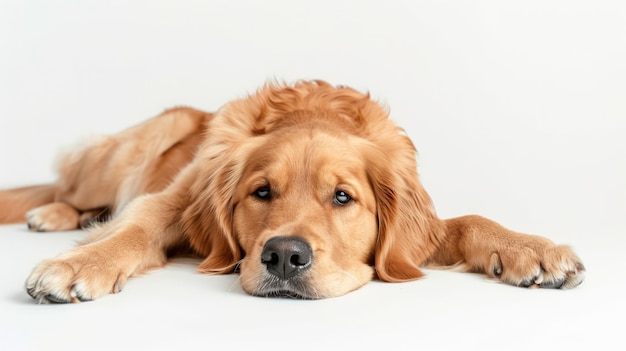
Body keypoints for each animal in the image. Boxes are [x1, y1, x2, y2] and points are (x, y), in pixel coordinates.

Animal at [0, 80, 580, 302]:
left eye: (343, 197)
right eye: (261, 193)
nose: (283, 257)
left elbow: (469, 222)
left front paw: (533, 250)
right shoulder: (171, 199)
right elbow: (135, 229)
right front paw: (80, 265)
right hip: (123, 155)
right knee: (66, 187)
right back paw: (55, 214)